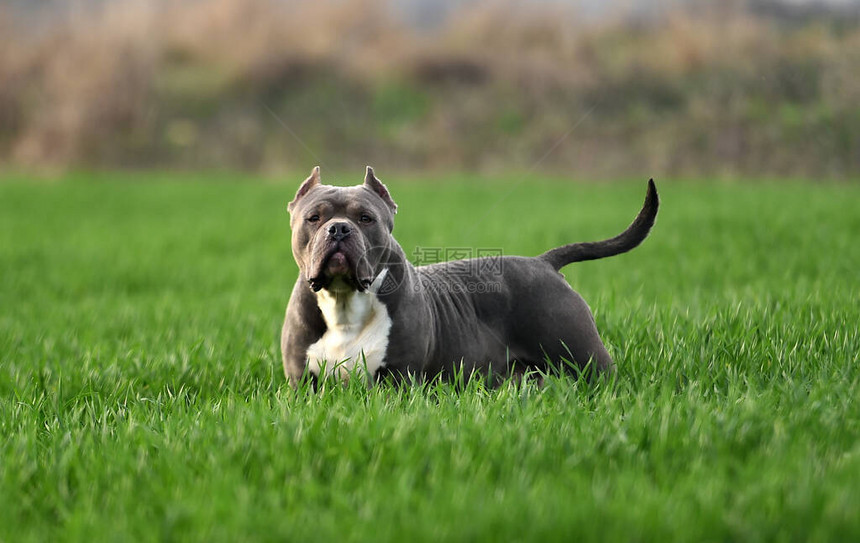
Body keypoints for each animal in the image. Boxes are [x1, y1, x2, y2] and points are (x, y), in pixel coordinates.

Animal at [282, 167, 660, 386]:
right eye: (314, 217)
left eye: (366, 218)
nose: (339, 229)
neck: (345, 300)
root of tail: (544, 263)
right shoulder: (302, 385)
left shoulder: (399, 380)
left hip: (586, 359)